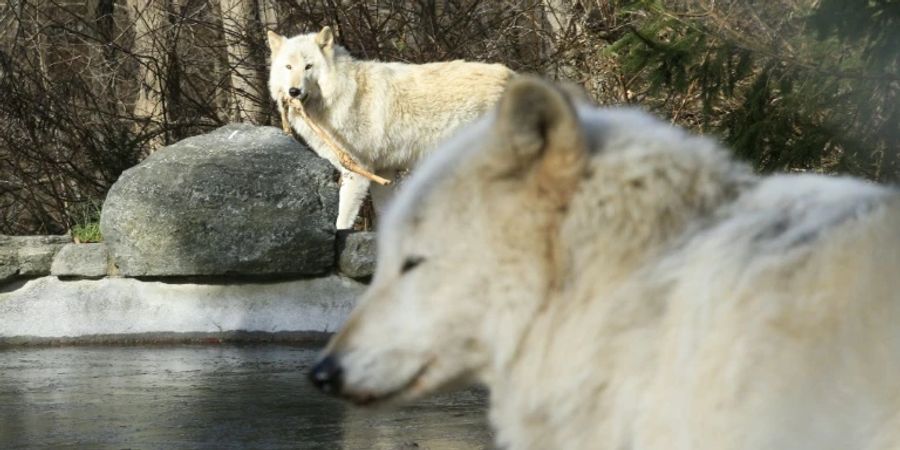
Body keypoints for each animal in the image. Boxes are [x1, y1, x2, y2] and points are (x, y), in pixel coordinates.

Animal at [268, 25, 512, 229]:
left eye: (308, 66)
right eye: (288, 67)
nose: (293, 91)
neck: (336, 95)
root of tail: (514, 76)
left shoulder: (357, 171)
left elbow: (342, 221)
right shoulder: (382, 172)